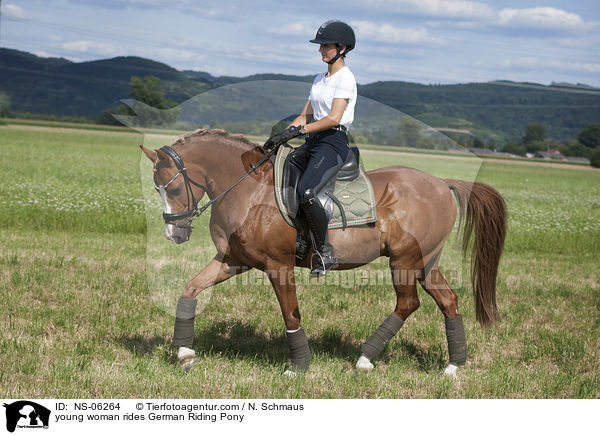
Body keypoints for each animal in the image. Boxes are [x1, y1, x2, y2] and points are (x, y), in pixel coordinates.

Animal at [142, 127, 506, 376]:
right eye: (157, 188)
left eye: (174, 188)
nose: (174, 233)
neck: (248, 189)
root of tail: (441, 183)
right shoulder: (233, 261)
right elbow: (189, 289)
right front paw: (184, 353)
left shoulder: (278, 265)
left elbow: (291, 314)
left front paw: (298, 366)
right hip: (425, 262)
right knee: (448, 300)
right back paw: (453, 367)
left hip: (404, 260)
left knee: (408, 303)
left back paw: (365, 358)